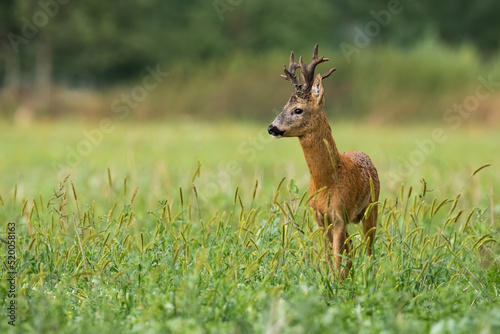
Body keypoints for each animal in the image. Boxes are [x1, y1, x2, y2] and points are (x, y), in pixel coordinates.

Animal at [270, 43, 378, 280]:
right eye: (283, 107)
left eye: (298, 110)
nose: (271, 128)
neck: (325, 182)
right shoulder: (319, 217)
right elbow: (330, 256)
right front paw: (330, 280)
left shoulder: (339, 215)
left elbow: (337, 257)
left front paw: (336, 283)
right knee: (351, 250)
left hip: (372, 209)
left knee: (369, 250)